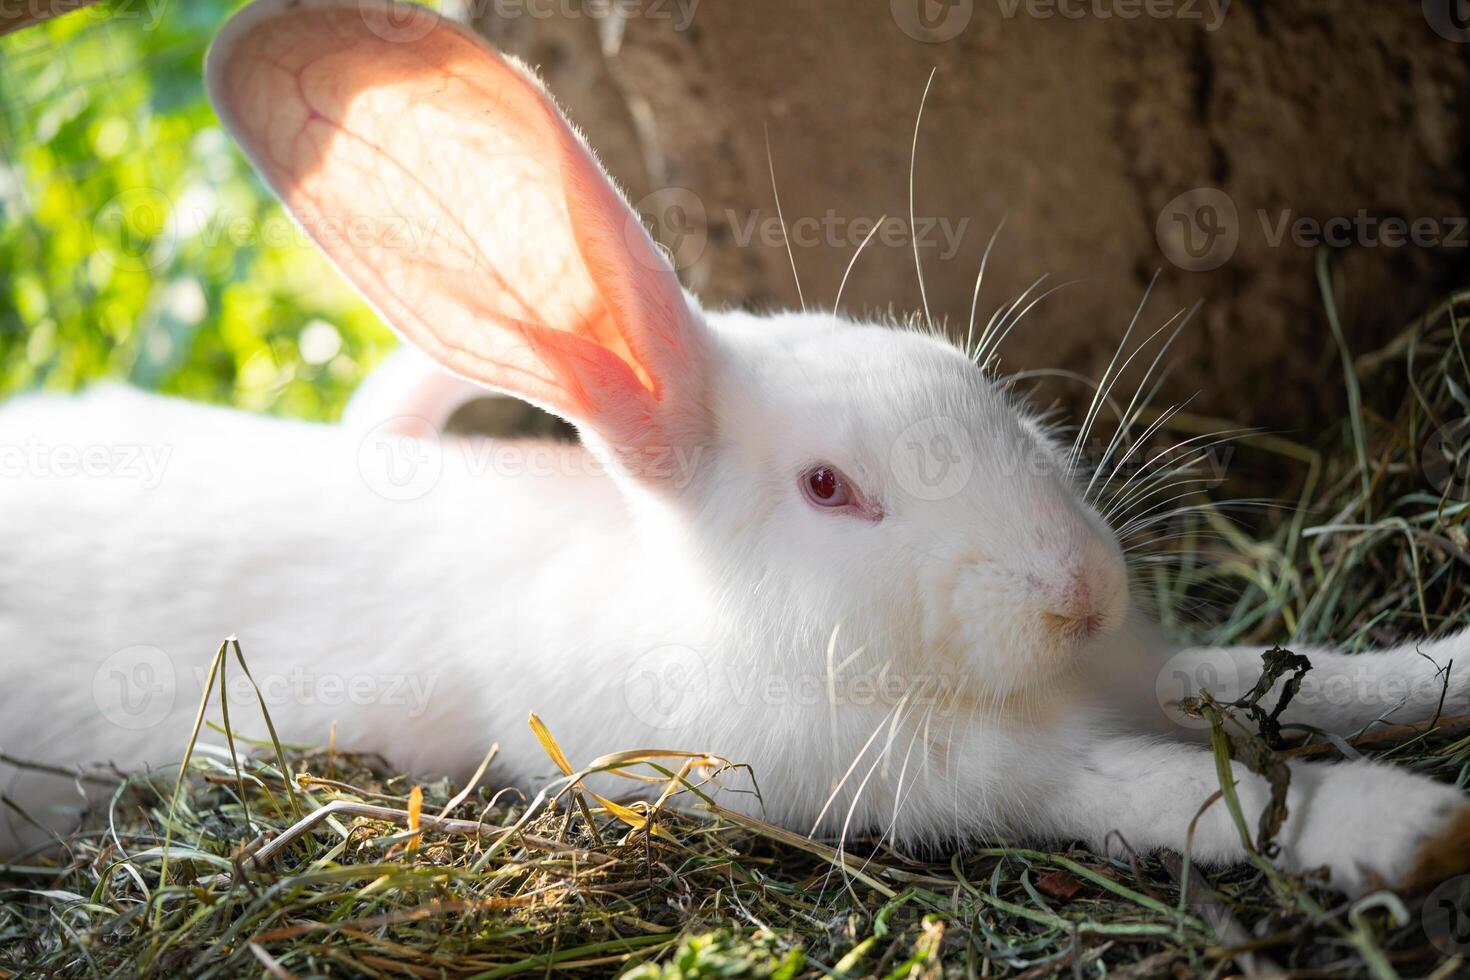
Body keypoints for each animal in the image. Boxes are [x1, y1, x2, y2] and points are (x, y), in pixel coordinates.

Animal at [2, 0, 1470, 893]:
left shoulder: (1146, 668)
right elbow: (1174, 789)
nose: (1078, 590)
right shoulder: (960, 772)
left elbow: (1273, 677)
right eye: (829, 489)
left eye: (974, 382)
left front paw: (1431, 672)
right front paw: (1405, 829)